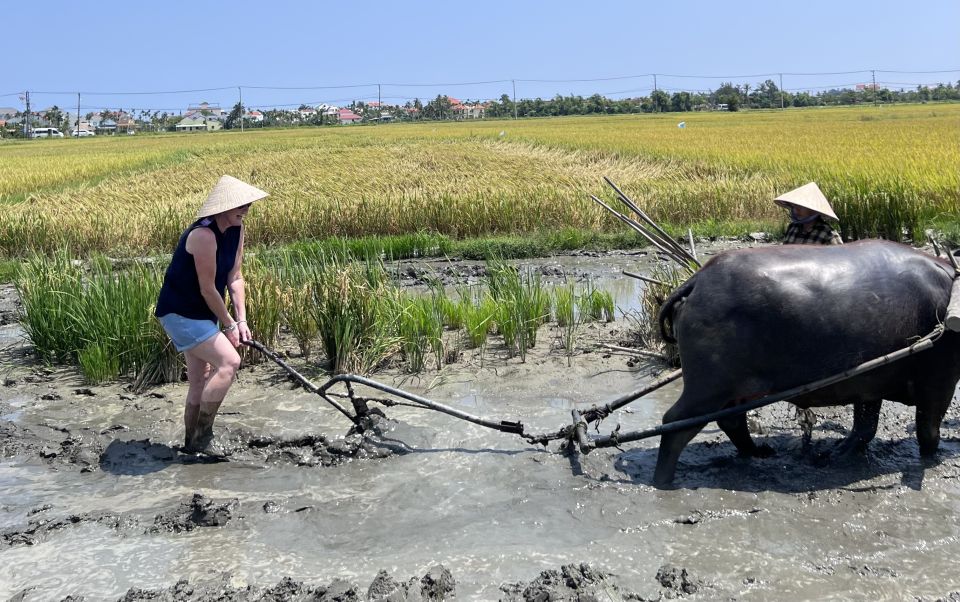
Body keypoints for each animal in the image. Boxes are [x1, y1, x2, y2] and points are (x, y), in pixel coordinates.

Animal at [652, 238, 960, 482]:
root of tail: (698, 280)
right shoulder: (939, 381)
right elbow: (927, 430)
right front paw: (931, 458)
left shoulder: (870, 381)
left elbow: (865, 425)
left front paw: (841, 452)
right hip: (707, 387)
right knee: (675, 424)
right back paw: (662, 482)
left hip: (731, 390)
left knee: (731, 421)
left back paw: (758, 452)